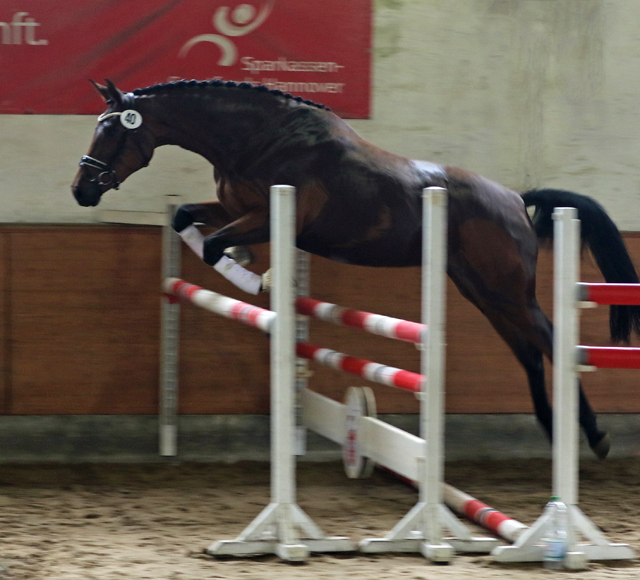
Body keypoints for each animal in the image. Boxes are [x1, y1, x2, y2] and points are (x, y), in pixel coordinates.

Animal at [70, 78, 640, 458]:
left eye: (111, 133)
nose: (81, 190)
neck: (258, 138)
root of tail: (516, 199)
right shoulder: (236, 209)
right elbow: (188, 219)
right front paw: (250, 266)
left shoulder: (270, 216)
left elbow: (213, 246)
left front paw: (257, 276)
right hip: (483, 292)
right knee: (530, 354)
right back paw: (556, 430)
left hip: (507, 292)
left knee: (552, 344)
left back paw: (593, 437)